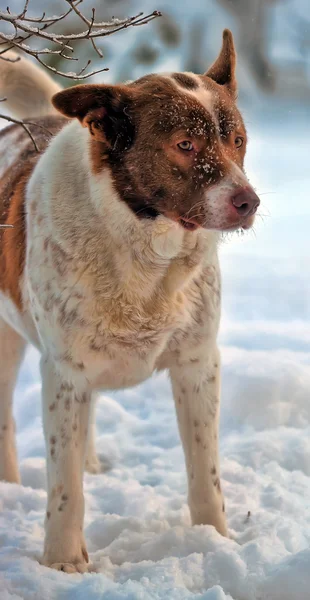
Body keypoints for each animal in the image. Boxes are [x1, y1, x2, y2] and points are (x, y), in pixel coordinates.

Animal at [0, 31, 260, 572]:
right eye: (185, 145)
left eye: (238, 141)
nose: (249, 202)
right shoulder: (64, 372)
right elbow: (64, 486)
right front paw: (63, 562)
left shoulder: (197, 364)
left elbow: (205, 471)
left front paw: (213, 541)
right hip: (8, 342)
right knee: (8, 419)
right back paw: (12, 485)